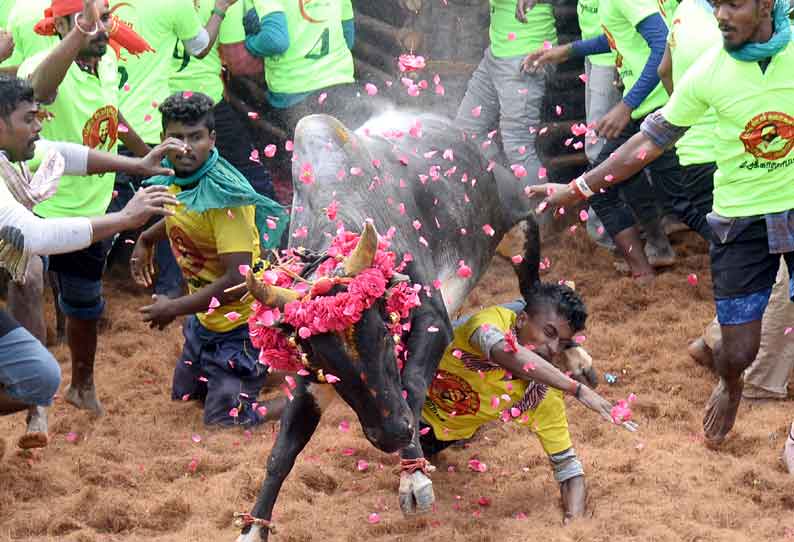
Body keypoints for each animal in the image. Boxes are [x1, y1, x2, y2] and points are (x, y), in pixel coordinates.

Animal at [232, 109, 592, 540]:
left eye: (386, 336)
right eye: (323, 363)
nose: (391, 434)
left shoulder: (434, 321)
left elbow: (412, 384)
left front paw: (413, 478)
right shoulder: (307, 377)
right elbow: (281, 453)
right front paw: (253, 527)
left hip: (519, 226)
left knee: (534, 289)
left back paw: (575, 355)